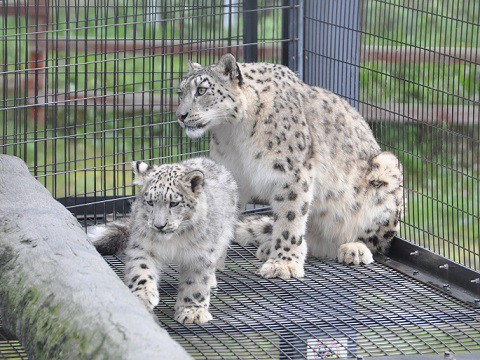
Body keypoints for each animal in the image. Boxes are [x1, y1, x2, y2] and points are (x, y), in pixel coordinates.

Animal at [88, 158, 238, 324]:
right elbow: (142, 270)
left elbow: (196, 282)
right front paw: (143, 296)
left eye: (174, 203)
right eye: (150, 202)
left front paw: (192, 311)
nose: (159, 225)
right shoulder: (143, 246)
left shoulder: (199, 254)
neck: (173, 241)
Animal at [174, 53, 404, 280]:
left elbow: (290, 219)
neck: (234, 134)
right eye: (180, 92)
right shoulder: (233, 175)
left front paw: (282, 264)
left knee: (377, 242)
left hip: (387, 169)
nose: (180, 116)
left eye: (201, 90)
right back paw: (269, 246)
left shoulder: (291, 173)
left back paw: (354, 248)